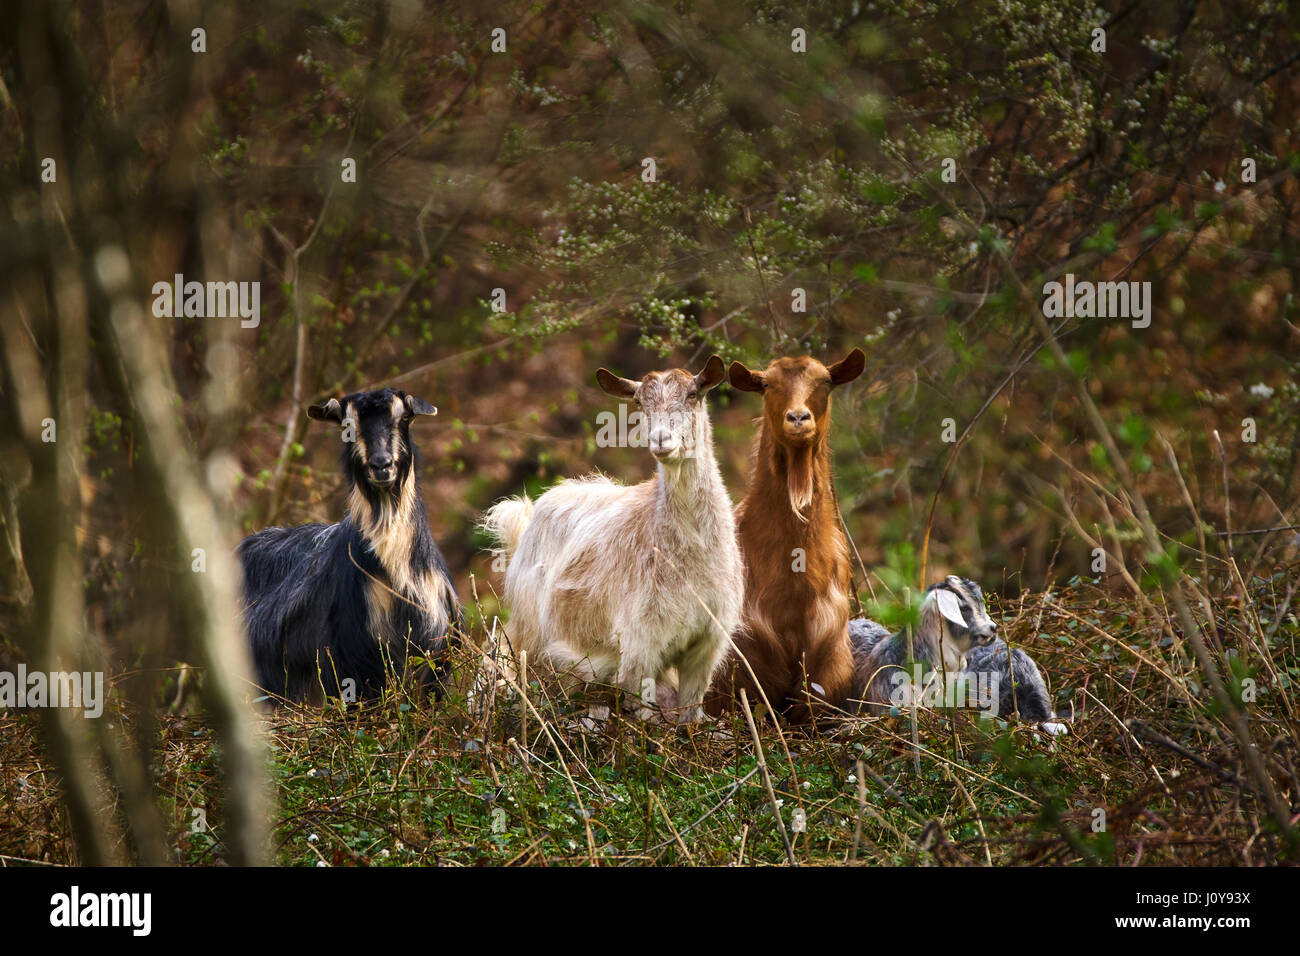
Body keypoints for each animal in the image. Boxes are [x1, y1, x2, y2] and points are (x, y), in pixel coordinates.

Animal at [481, 357, 743, 723]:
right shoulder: (638, 647)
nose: (662, 440)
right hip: (530, 634)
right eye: (640, 403)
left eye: (693, 394)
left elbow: (689, 719)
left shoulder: (706, 647)